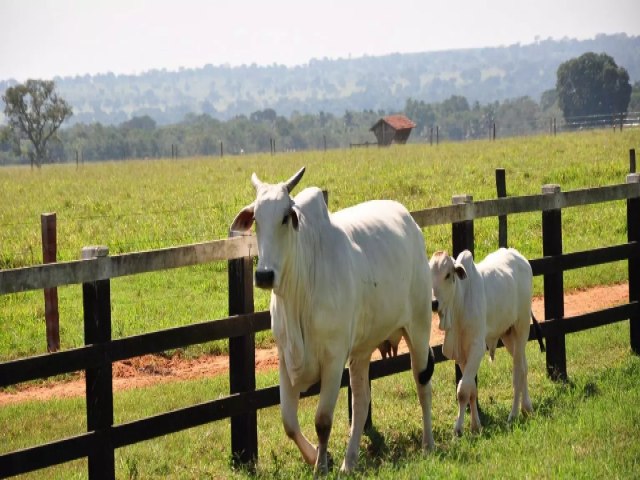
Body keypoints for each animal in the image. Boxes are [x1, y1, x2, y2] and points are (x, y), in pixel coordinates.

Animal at [230, 167, 436, 474]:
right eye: (256, 218)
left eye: (285, 217)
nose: (264, 275)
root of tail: (410, 221)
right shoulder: (285, 358)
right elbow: (289, 422)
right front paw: (315, 456)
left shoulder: (334, 359)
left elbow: (322, 420)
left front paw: (320, 467)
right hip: (362, 350)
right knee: (361, 403)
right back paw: (349, 462)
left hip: (419, 328)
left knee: (423, 385)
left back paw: (428, 444)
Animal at [430, 249, 544, 436]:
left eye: (447, 275)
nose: (433, 303)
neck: (459, 303)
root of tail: (519, 257)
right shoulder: (462, 355)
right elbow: (471, 390)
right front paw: (476, 426)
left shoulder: (477, 349)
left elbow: (463, 391)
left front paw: (458, 429)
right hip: (508, 335)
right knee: (524, 366)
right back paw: (527, 408)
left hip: (521, 328)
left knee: (518, 372)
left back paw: (513, 414)